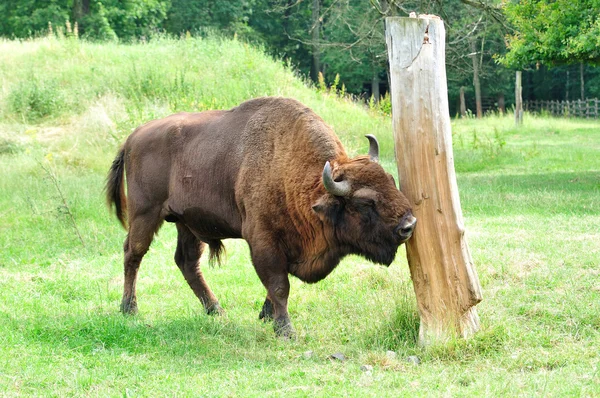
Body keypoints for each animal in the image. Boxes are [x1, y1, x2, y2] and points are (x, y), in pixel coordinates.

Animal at [108, 96, 414, 336]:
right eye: (364, 202)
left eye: (391, 180)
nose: (408, 225)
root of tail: (133, 137)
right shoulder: (263, 241)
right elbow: (279, 285)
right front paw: (285, 329)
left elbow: (277, 284)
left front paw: (266, 316)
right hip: (145, 214)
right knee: (133, 254)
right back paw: (129, 308)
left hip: (186, 223)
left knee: (187, 262)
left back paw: (216, 310)